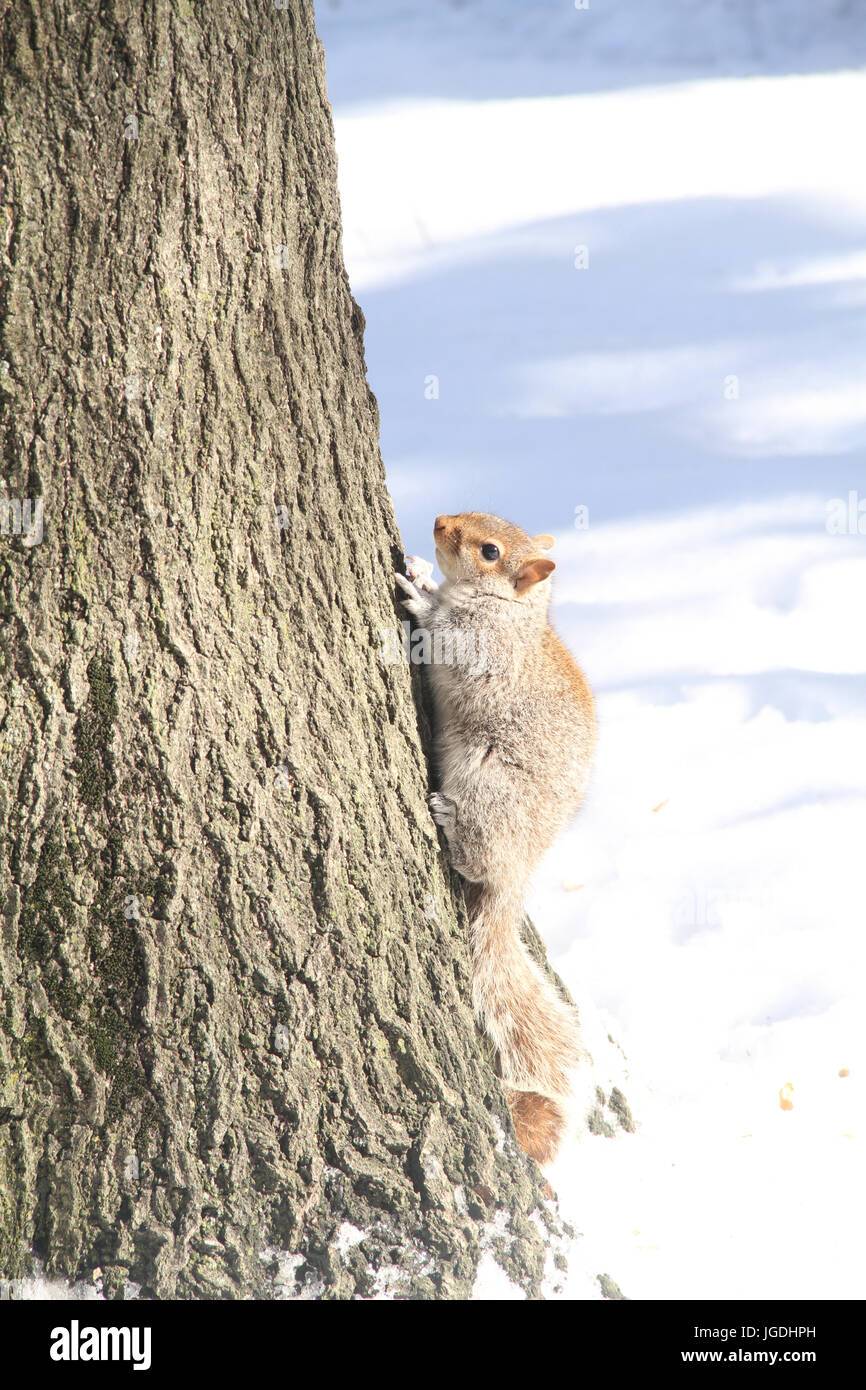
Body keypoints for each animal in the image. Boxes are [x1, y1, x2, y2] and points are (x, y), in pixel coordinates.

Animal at [394, 511, 592, 1162]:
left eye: (489, 551)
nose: (437, 523)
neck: (511, 609)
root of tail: (520, 872)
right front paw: (420, 573)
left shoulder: (482, 645)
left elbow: (444, 636)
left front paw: (418, 598)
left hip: (488, 790)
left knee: (478, 861)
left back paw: (448, 825)